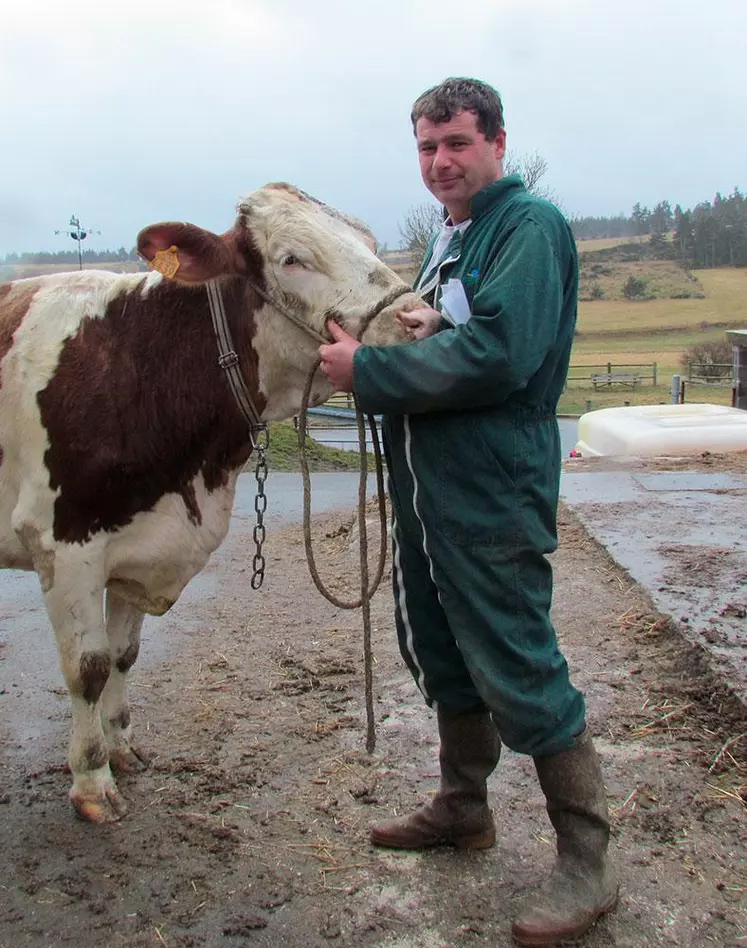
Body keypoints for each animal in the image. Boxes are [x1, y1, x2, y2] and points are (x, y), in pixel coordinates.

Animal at [0, 183, 420, 824]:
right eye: (292, 258)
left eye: (371, 242)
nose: (422, 320)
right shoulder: (64, 545)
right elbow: (88, 669)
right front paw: (93, 782)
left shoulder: (139, 547)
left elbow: (122, 655)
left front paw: (121, 749)